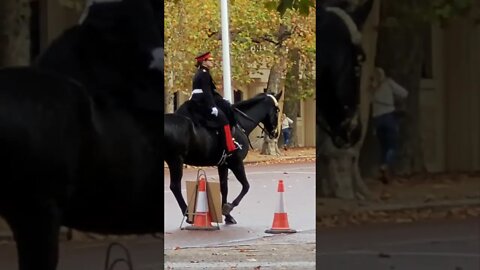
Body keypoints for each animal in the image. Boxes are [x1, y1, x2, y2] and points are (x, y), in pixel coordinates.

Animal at [164, 92, 282, 225]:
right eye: (277, 110)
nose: (275, 133)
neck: (239, 124)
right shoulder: (236, 163)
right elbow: (246, 186)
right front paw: (228, 208)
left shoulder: (223, 165)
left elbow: (224, 187)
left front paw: (227, 215)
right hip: (176, 161)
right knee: (175, 186)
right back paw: (188, 214)